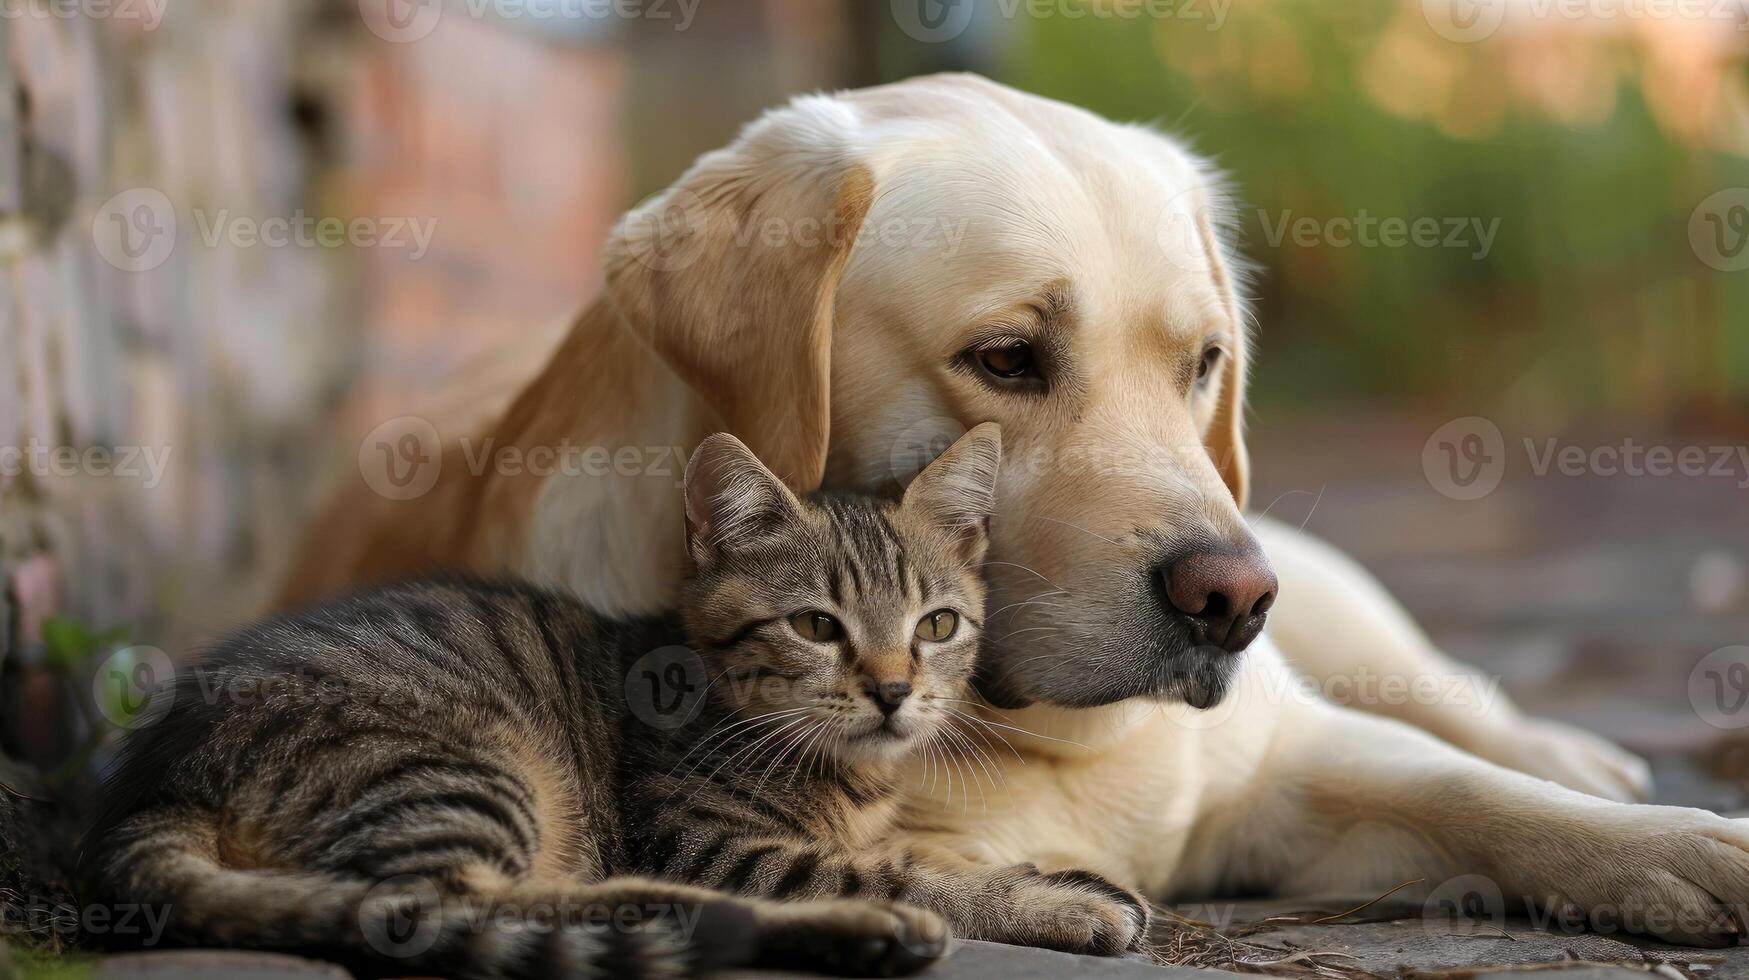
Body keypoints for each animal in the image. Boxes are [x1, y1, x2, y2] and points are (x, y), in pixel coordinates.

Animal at [85, 425, 1147, 973]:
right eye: (816, 626)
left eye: (936, 625)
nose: (892, 692)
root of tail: (156, 779)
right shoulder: (710, 839)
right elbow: (894, 872)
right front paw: (1055, 901)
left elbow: (918, 852)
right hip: (464, 766)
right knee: (452, 907)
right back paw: (854, 933)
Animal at [286, 76, 1749, 952]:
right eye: (1006, 359)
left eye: (1204, 361)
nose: (1231, 601)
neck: (1025, 736)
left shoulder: (1282, 759)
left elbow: (1471, 787)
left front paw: (1690, 846)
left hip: (1332, 595)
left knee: (1452, 695)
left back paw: (1583, 750)